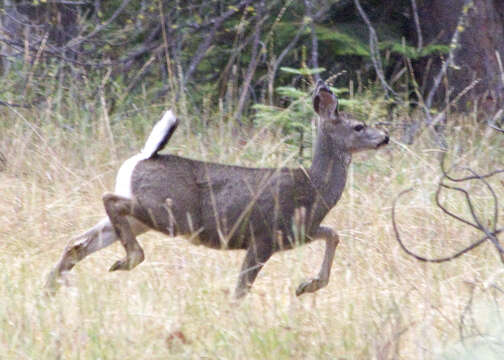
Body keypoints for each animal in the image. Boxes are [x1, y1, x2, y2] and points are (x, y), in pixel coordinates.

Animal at [45, 81, 390, 298]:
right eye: (358, 126)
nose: (384, 137)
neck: (314, 188)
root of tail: (146, 155)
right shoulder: (264, 236)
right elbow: (242, 287)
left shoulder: (300, 232)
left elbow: (333, 234)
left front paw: (307, 285)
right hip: (170, 212)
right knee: (109, 201)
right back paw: (127, 260)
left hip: (145, 218)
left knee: (78, 241)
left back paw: (50, 286)